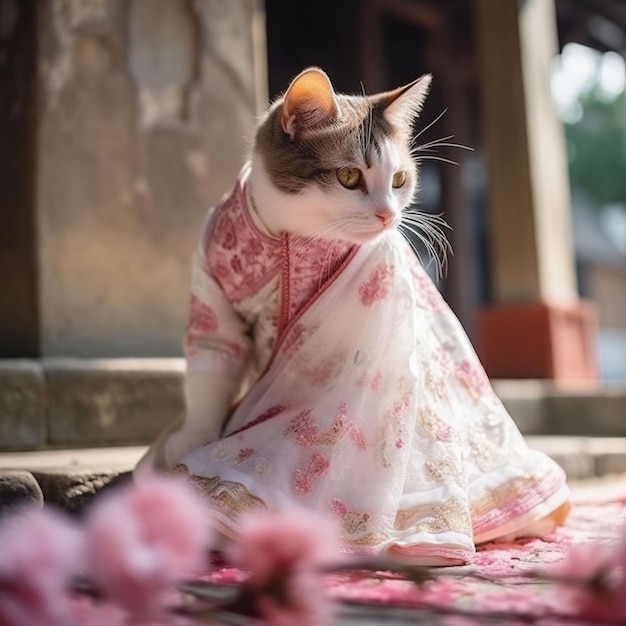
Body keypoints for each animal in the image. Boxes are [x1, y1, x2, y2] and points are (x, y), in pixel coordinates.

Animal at [135, 68, 564, 564]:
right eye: (348, 176)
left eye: (399, 179)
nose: (387, 214)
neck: (286, 233)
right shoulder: (211, 288)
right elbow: (211, 360)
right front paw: (197, 435)